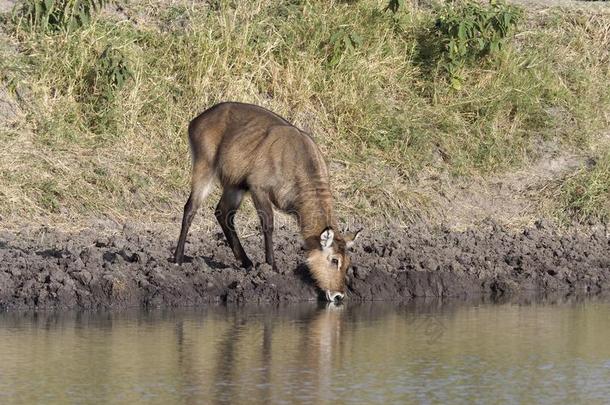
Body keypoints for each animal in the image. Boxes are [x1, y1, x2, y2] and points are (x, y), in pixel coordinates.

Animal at [171, 102, 358, 302]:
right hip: (205, 169)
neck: (299, 159)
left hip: (235, 185)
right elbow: (268, 224)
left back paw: (246, 262)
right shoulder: (258, 188)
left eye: (348, 262)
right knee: (190, 208)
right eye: (334, 260)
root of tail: (197, 120)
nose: (339, 295)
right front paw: (272, 267)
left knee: (223, 212)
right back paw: (178, 259)